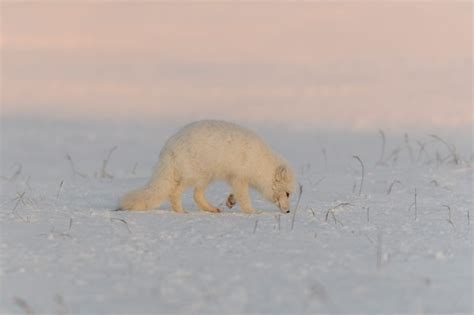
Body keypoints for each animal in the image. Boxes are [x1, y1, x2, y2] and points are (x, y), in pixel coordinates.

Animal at [118, 121, 294, 215]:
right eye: (287, 193)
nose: (288, 212)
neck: (261, 163)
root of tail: (169, 148)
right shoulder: (239, 178)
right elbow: (244, 198)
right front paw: (253, 212)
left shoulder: (236, 179)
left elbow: (237, 195)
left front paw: (231, 201)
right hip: (194, 175)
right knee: (175, 193)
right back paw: (181, 212)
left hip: (206, 177)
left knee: (196, 195)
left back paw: (212, 209)